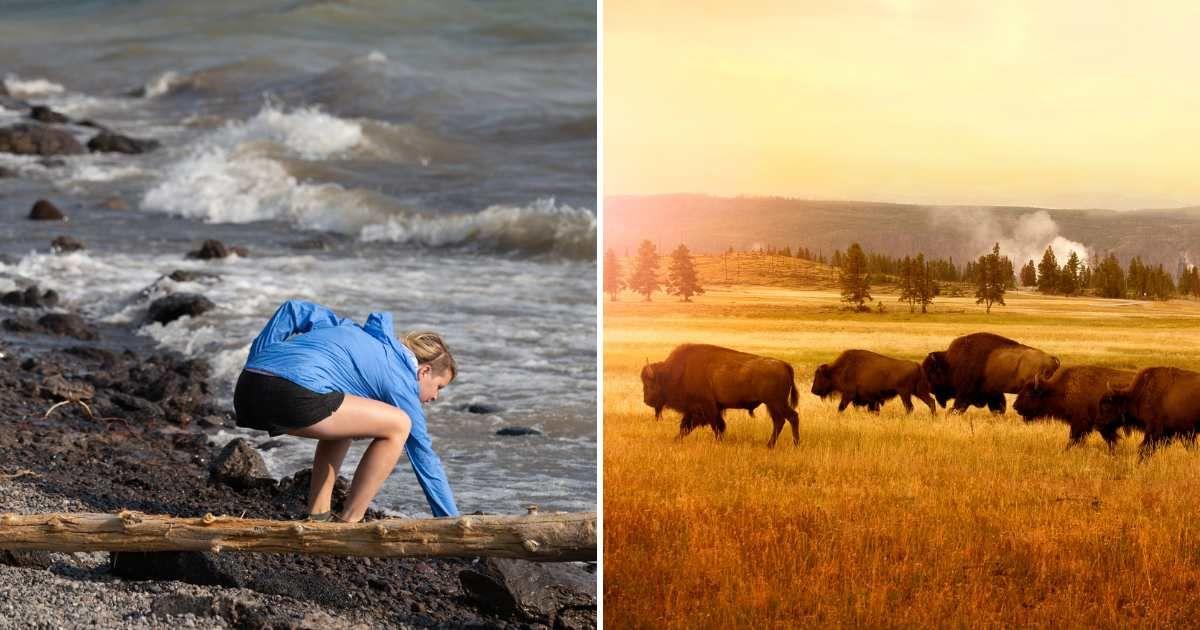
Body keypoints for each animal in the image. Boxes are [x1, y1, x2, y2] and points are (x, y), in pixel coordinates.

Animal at [641, 344, 800, 447]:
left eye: (649, 384)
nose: (646, 401)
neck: (676, 372)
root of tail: (785, 365)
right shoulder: (696, 410)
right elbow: (685, 427)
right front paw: (675, 440)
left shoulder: (706, 408)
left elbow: (716, 426)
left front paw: (719, 442)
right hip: (772, 405)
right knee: (779, 421)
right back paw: (770, 445)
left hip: (776, 403)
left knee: (792, 417)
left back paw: (795, 445)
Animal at [923, 332, 1060, 415]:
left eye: (931, 371)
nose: (928, 387)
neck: (950, 363)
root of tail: (1052, 359)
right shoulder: (993, 393)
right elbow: (998, 407)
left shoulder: (965, 393)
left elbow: (958, 406)